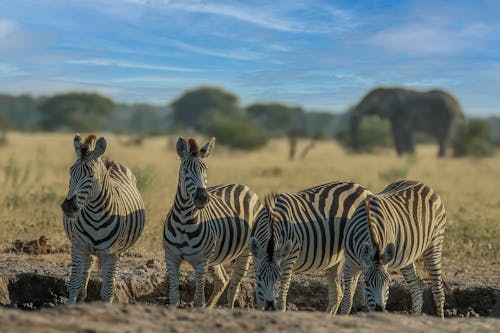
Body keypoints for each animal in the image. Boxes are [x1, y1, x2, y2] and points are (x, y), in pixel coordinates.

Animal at [60, 134, 146, 302]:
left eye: (91, 175)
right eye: (71, 172)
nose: (68, 207)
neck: (95, 215)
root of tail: (111, 162)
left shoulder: (111, 255)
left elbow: (107, 292)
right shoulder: (78, 247)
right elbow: (74, 285)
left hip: (119, 252)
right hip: (87, 251)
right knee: (84, 276)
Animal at [163, 136, 262, 308]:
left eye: (206, 170)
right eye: (185, 171)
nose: (203, 198)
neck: (183, 222)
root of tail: (243, 186)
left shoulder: (201, 262)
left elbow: (198, 299)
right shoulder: (171, 258)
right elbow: (174, 296)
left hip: (246, 251)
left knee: (234, 287)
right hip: (215, 257)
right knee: (223, 280)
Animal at [250, 180, 372, 312]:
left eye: (278, 277)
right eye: (259, 277)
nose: (269, 306)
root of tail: (365, 189)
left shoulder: (289, 258)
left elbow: (281, 301)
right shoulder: (256, 261)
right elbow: (259, 300)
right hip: (336, 259)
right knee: (337, 294)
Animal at [338, 179, 448, 316]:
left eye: (388, 282)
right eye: (367, 282)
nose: (380, 310)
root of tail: (424, 184)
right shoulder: (350, 265)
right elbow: (347, 301)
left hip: (435, 244)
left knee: (438, 291)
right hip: (407, 255)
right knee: (416, 287)